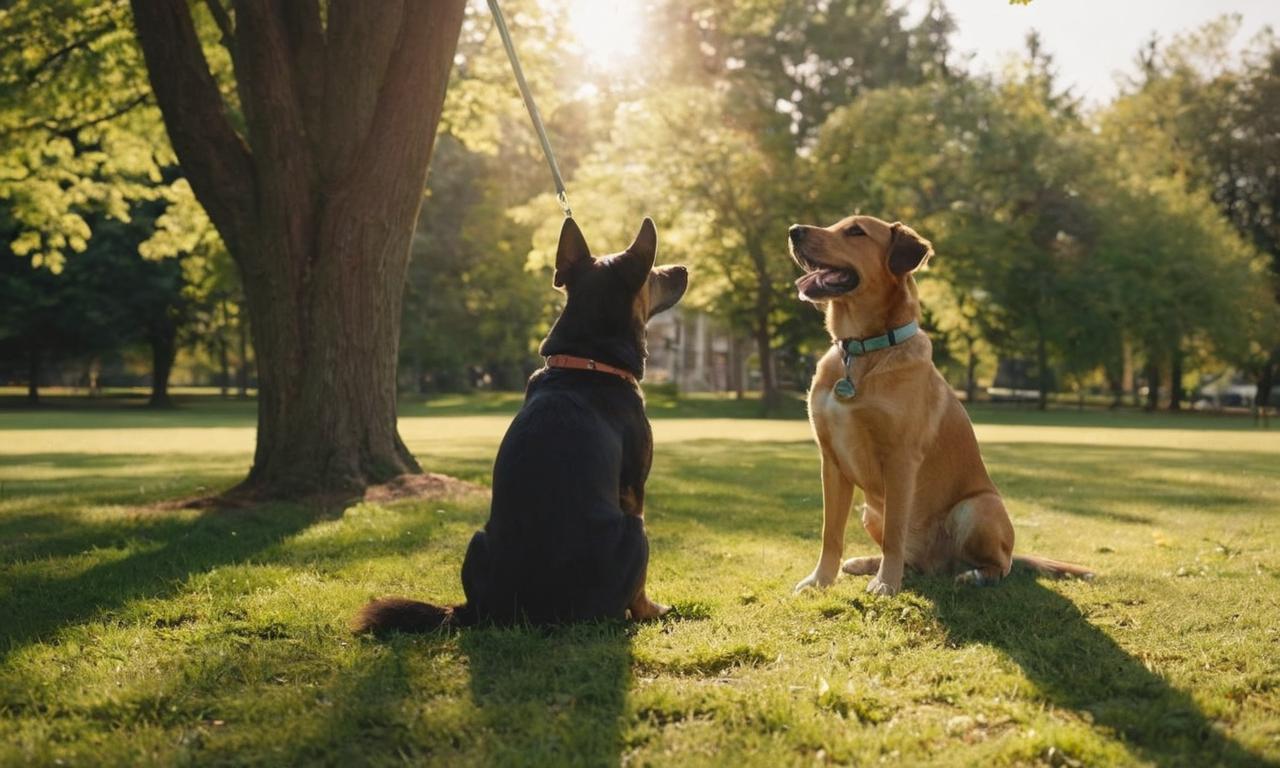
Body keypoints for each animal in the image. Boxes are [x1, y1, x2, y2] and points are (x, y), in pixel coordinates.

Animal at [355, 216, 686, 629]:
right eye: (654, 272)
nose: (684, 268)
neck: (587, 360)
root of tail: (528, 613)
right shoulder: (634, 487)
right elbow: (641, 584)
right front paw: (653, 608)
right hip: (634, 530)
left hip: (477, 539)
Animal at [788, 212, 1090, 596]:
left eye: (856, 231)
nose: (793, 231)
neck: (862, 349)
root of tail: (939, 565)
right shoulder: (831, 461)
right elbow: (831, 533)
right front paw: (820, 580)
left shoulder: (900, 460)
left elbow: (894, 534)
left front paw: (885, 584)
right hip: (870, 511)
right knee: (912, 561)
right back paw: (868, 564)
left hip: (977, 507)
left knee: (999, 565)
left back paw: (971, 575)